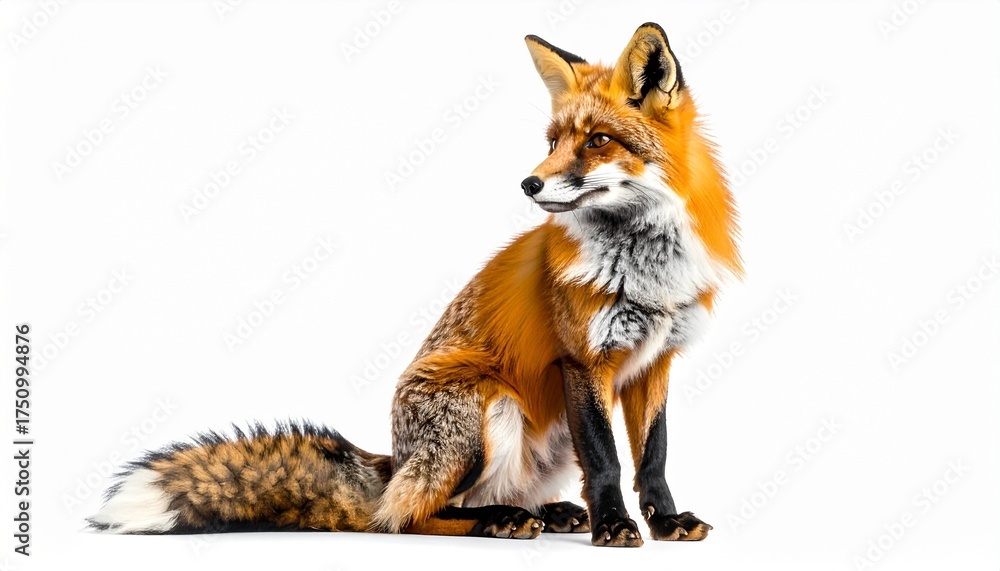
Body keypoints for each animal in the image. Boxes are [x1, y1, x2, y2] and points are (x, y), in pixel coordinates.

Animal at [88, 22, 741, 547]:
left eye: (598, 141)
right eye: (553, 143)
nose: (528, 183)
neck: (646, 269)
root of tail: (393, 460)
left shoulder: (657, 362)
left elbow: (652, 457)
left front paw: (665, 522)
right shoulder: (583, 359)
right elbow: (606, 461)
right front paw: (615, 526)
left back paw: (546, 512)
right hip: (487, 409)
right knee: (404, 515)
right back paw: (498, 521)